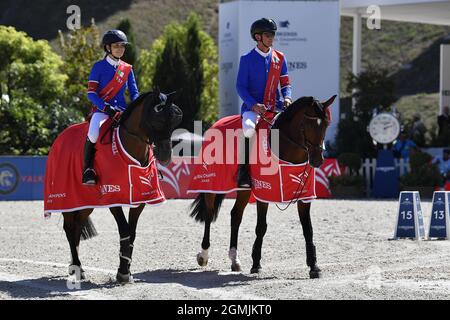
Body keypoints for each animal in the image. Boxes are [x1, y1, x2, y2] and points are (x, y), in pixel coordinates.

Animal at [48, 89, 181, 282]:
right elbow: (124, 230)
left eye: (174, 120)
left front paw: (125, 270)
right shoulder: (113, 197)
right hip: (67, 199)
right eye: (157, 118)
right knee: (69, 228)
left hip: (85, 203)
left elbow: (131, 233)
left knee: (77, 227)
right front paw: (123, 272)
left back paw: (76, 266)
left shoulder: (139, 200)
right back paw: (77, 267)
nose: (165, 156)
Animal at [188, 95, 336, 278]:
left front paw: (314, 266)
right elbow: (261, 227)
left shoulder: (304, 194)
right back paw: (204, 255)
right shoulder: (264, 192)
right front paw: (256, 264)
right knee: (209, 216)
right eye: (307, 125)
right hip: (211, 183)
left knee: (235, 215)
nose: (318, 160)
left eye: (326, 124)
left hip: (244, 189)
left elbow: (308, 228)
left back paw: (234, 259)